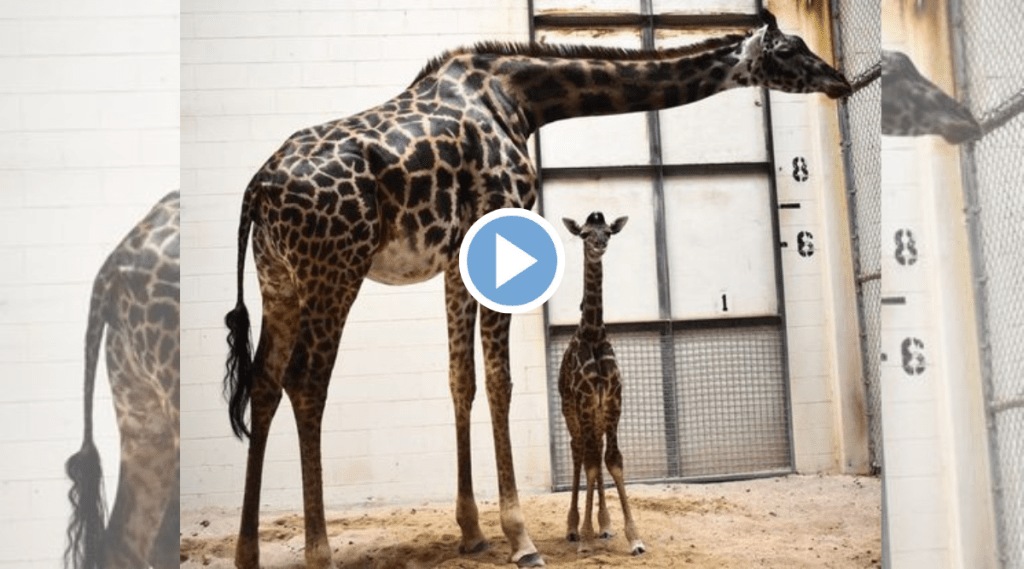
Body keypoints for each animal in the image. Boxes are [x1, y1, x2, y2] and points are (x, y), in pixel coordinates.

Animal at [224, 9, 847, 569]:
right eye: (789, 49)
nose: (839, 81)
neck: (521, 99)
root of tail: (257, 188)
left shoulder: (456, 258)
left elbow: (463, 380)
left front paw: (473, 533)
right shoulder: (495, 230)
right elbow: (500, 382)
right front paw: (520, 538)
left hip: (279, 279)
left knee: (264, 383)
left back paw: (247, 552)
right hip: (335, 269)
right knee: (307, 384)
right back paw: (319, 552)